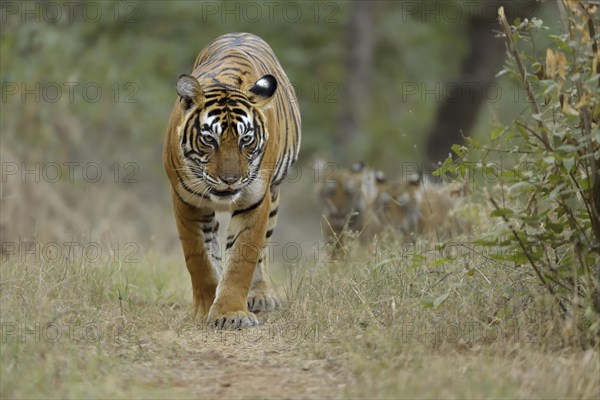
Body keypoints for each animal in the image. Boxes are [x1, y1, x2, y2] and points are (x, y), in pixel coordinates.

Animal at [163, 33, 300, 328]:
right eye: (209, 139)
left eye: (245, 139)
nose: (229, 180)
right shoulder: (186, 200)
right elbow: (199, 257)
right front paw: (205, 307)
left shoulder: (255, 200)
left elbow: (242, 259)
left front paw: (230, 314)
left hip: (273, 198)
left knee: (261, 252)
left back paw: (259, 296)